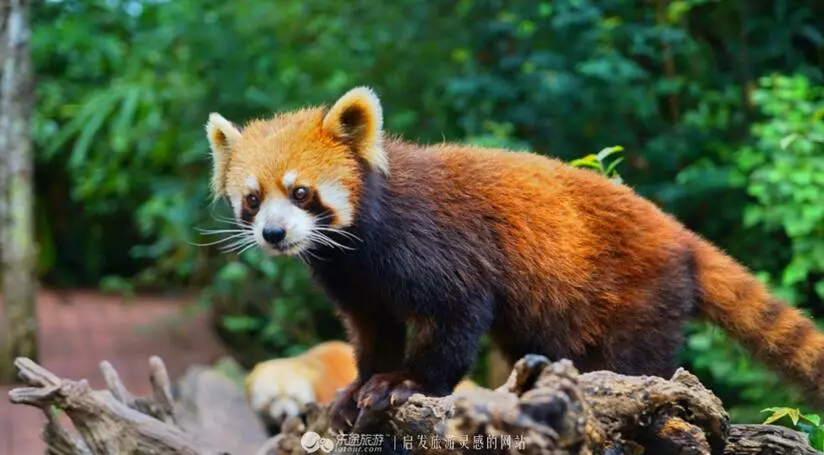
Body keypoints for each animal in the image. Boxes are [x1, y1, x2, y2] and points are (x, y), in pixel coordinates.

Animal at [206, 84, 824, 432]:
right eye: (253, 199)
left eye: (302, 192)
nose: (275, 234)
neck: (361, 247)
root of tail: (679, 234)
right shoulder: (355, 283)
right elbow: (372, 329)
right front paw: (359, 388)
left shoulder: (440, 248)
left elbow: (455, 319)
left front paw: (405, 384)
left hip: (639, 293)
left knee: (634, 360)